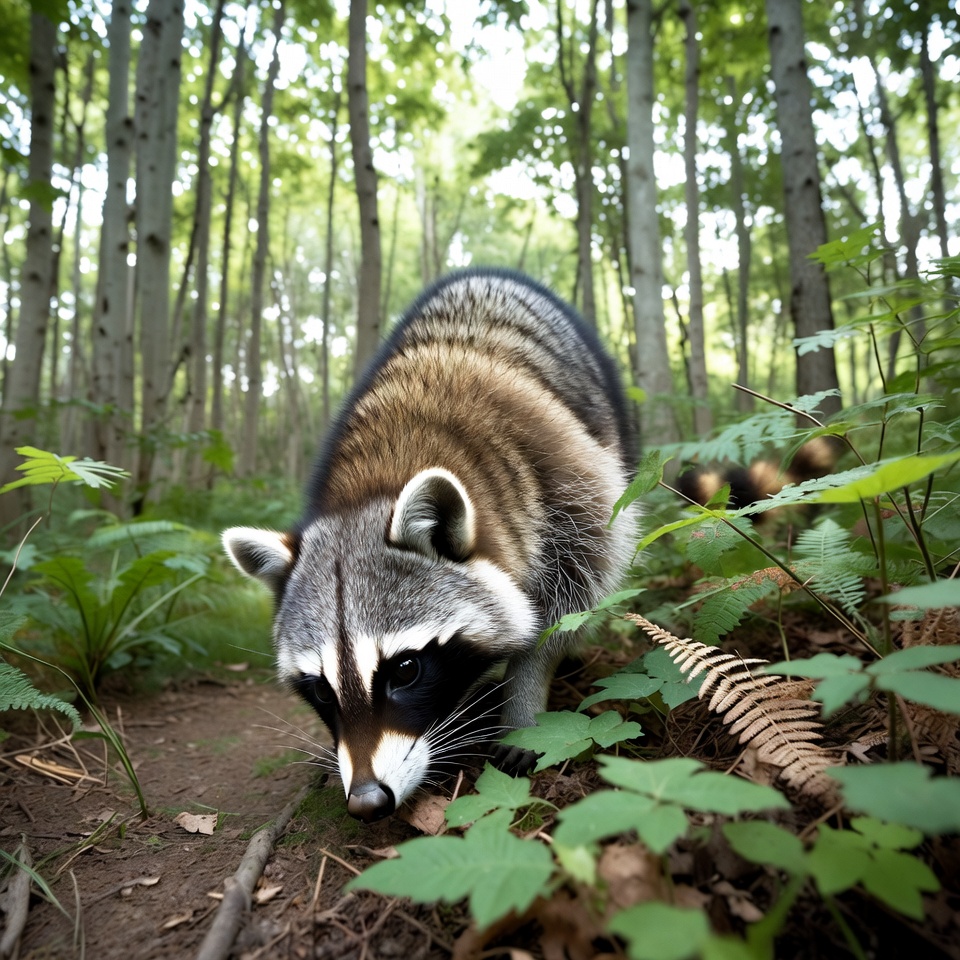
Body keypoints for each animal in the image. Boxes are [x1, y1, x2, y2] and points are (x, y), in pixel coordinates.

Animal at [223, 269, 638, 821]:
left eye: (406, 669)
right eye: (321, 689)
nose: (367, 801)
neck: (377, 479)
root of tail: (485, 274)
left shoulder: (569, 483)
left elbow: (569, 600)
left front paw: (524, 703)